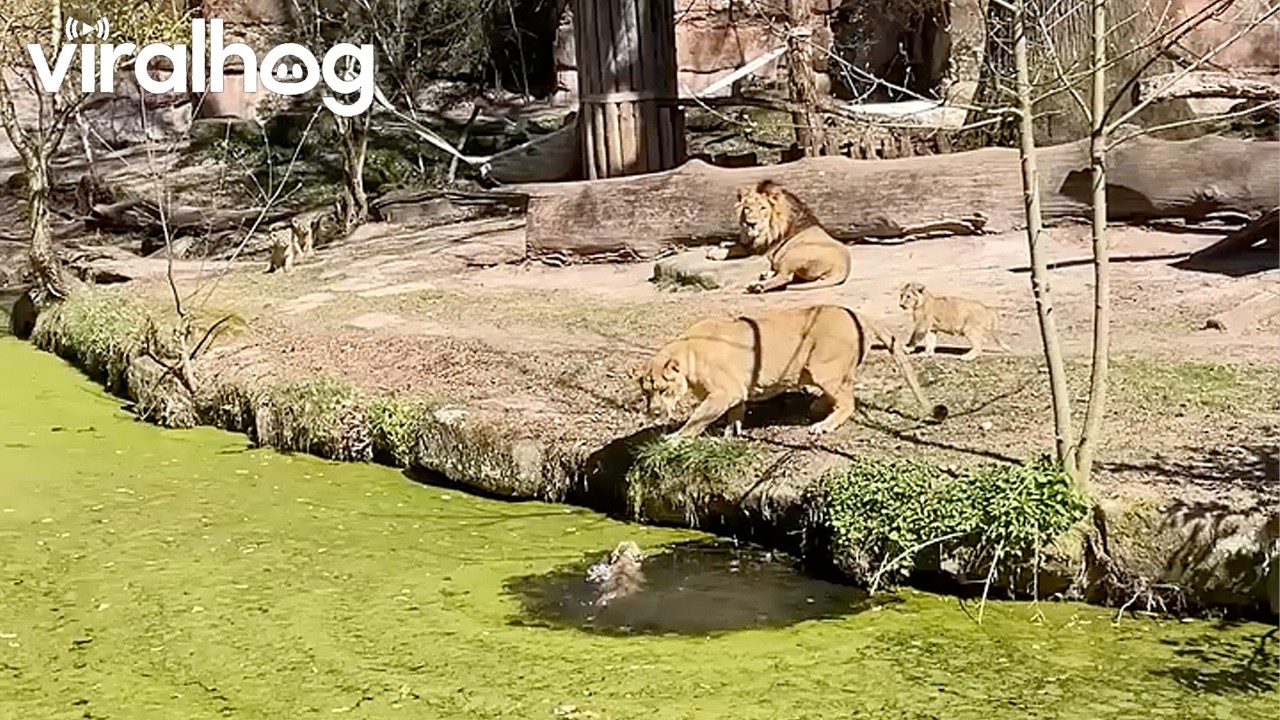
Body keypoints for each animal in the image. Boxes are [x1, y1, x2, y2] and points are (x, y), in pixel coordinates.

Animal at [639, 304, 947, 440]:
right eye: (646, 393)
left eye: (663, 389)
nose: (654, 411)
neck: (687, 354)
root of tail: (857, 313)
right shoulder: (735, 392)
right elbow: (735, 412)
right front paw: (731, 431)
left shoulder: (724, 392)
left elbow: (696, 419)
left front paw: (674, 439)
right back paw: (816, 408)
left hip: (822, 366)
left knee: (848, 402)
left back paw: (823, 425)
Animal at [706, 180, 851, 294]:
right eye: (747, 208)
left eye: (763, 208)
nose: (750, 223)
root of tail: (844, 268)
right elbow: (737, 243)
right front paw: (720, 246)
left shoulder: (762, 248)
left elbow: (738, 247)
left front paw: (716, 252)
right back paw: (765, 275)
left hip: (792, 254)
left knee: (785, 277)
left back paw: (757, 286)